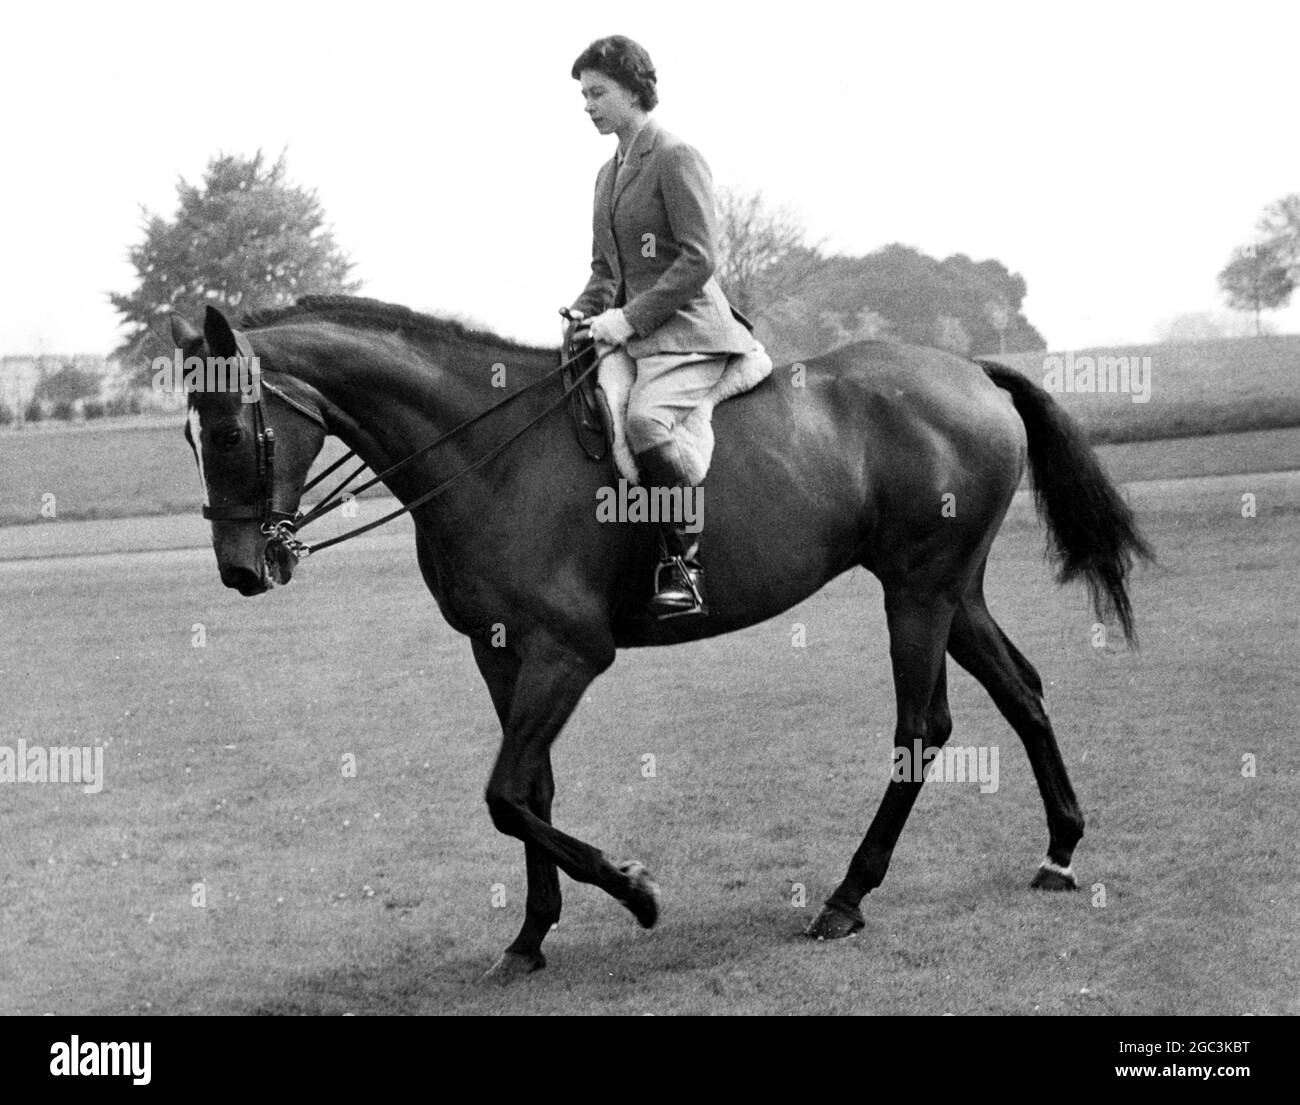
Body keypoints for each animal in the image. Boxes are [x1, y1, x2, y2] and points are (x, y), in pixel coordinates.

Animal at [178, 297, 1154, 977]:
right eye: (191, 434)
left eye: (227, 430)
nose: (241, 570)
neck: (493, 453)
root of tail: (975, 375)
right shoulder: (499, 651)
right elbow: (531, 790)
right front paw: (530, 936)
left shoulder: (568, 654)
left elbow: (504, 794)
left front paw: (637, 892)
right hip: (952, 592)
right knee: (1021, 692)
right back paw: (1060, 850)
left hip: (918, 592)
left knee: (923, 728)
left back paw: (846, 897)